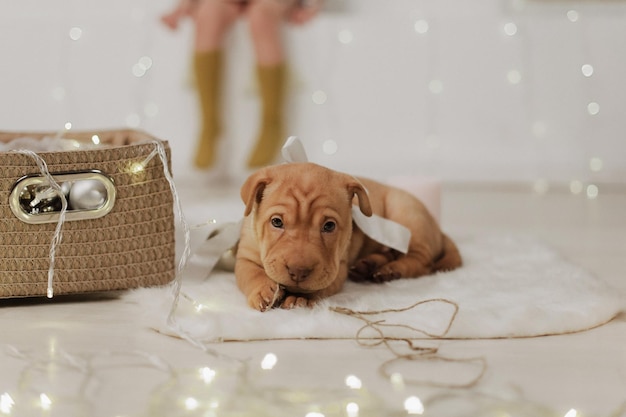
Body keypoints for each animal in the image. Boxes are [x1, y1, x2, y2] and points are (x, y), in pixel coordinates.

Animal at [233, 161, 458, 310]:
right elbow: (251, 274)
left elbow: (319, 284)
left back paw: (392, 270)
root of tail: (437, 228)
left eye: (329, 226)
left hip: (406, 214)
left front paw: (298, 296)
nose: (298, 272)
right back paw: (368, 266)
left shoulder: (337, 267)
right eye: (277, 222)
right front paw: (263, 290)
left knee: (422, 261)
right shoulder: (245, 256)